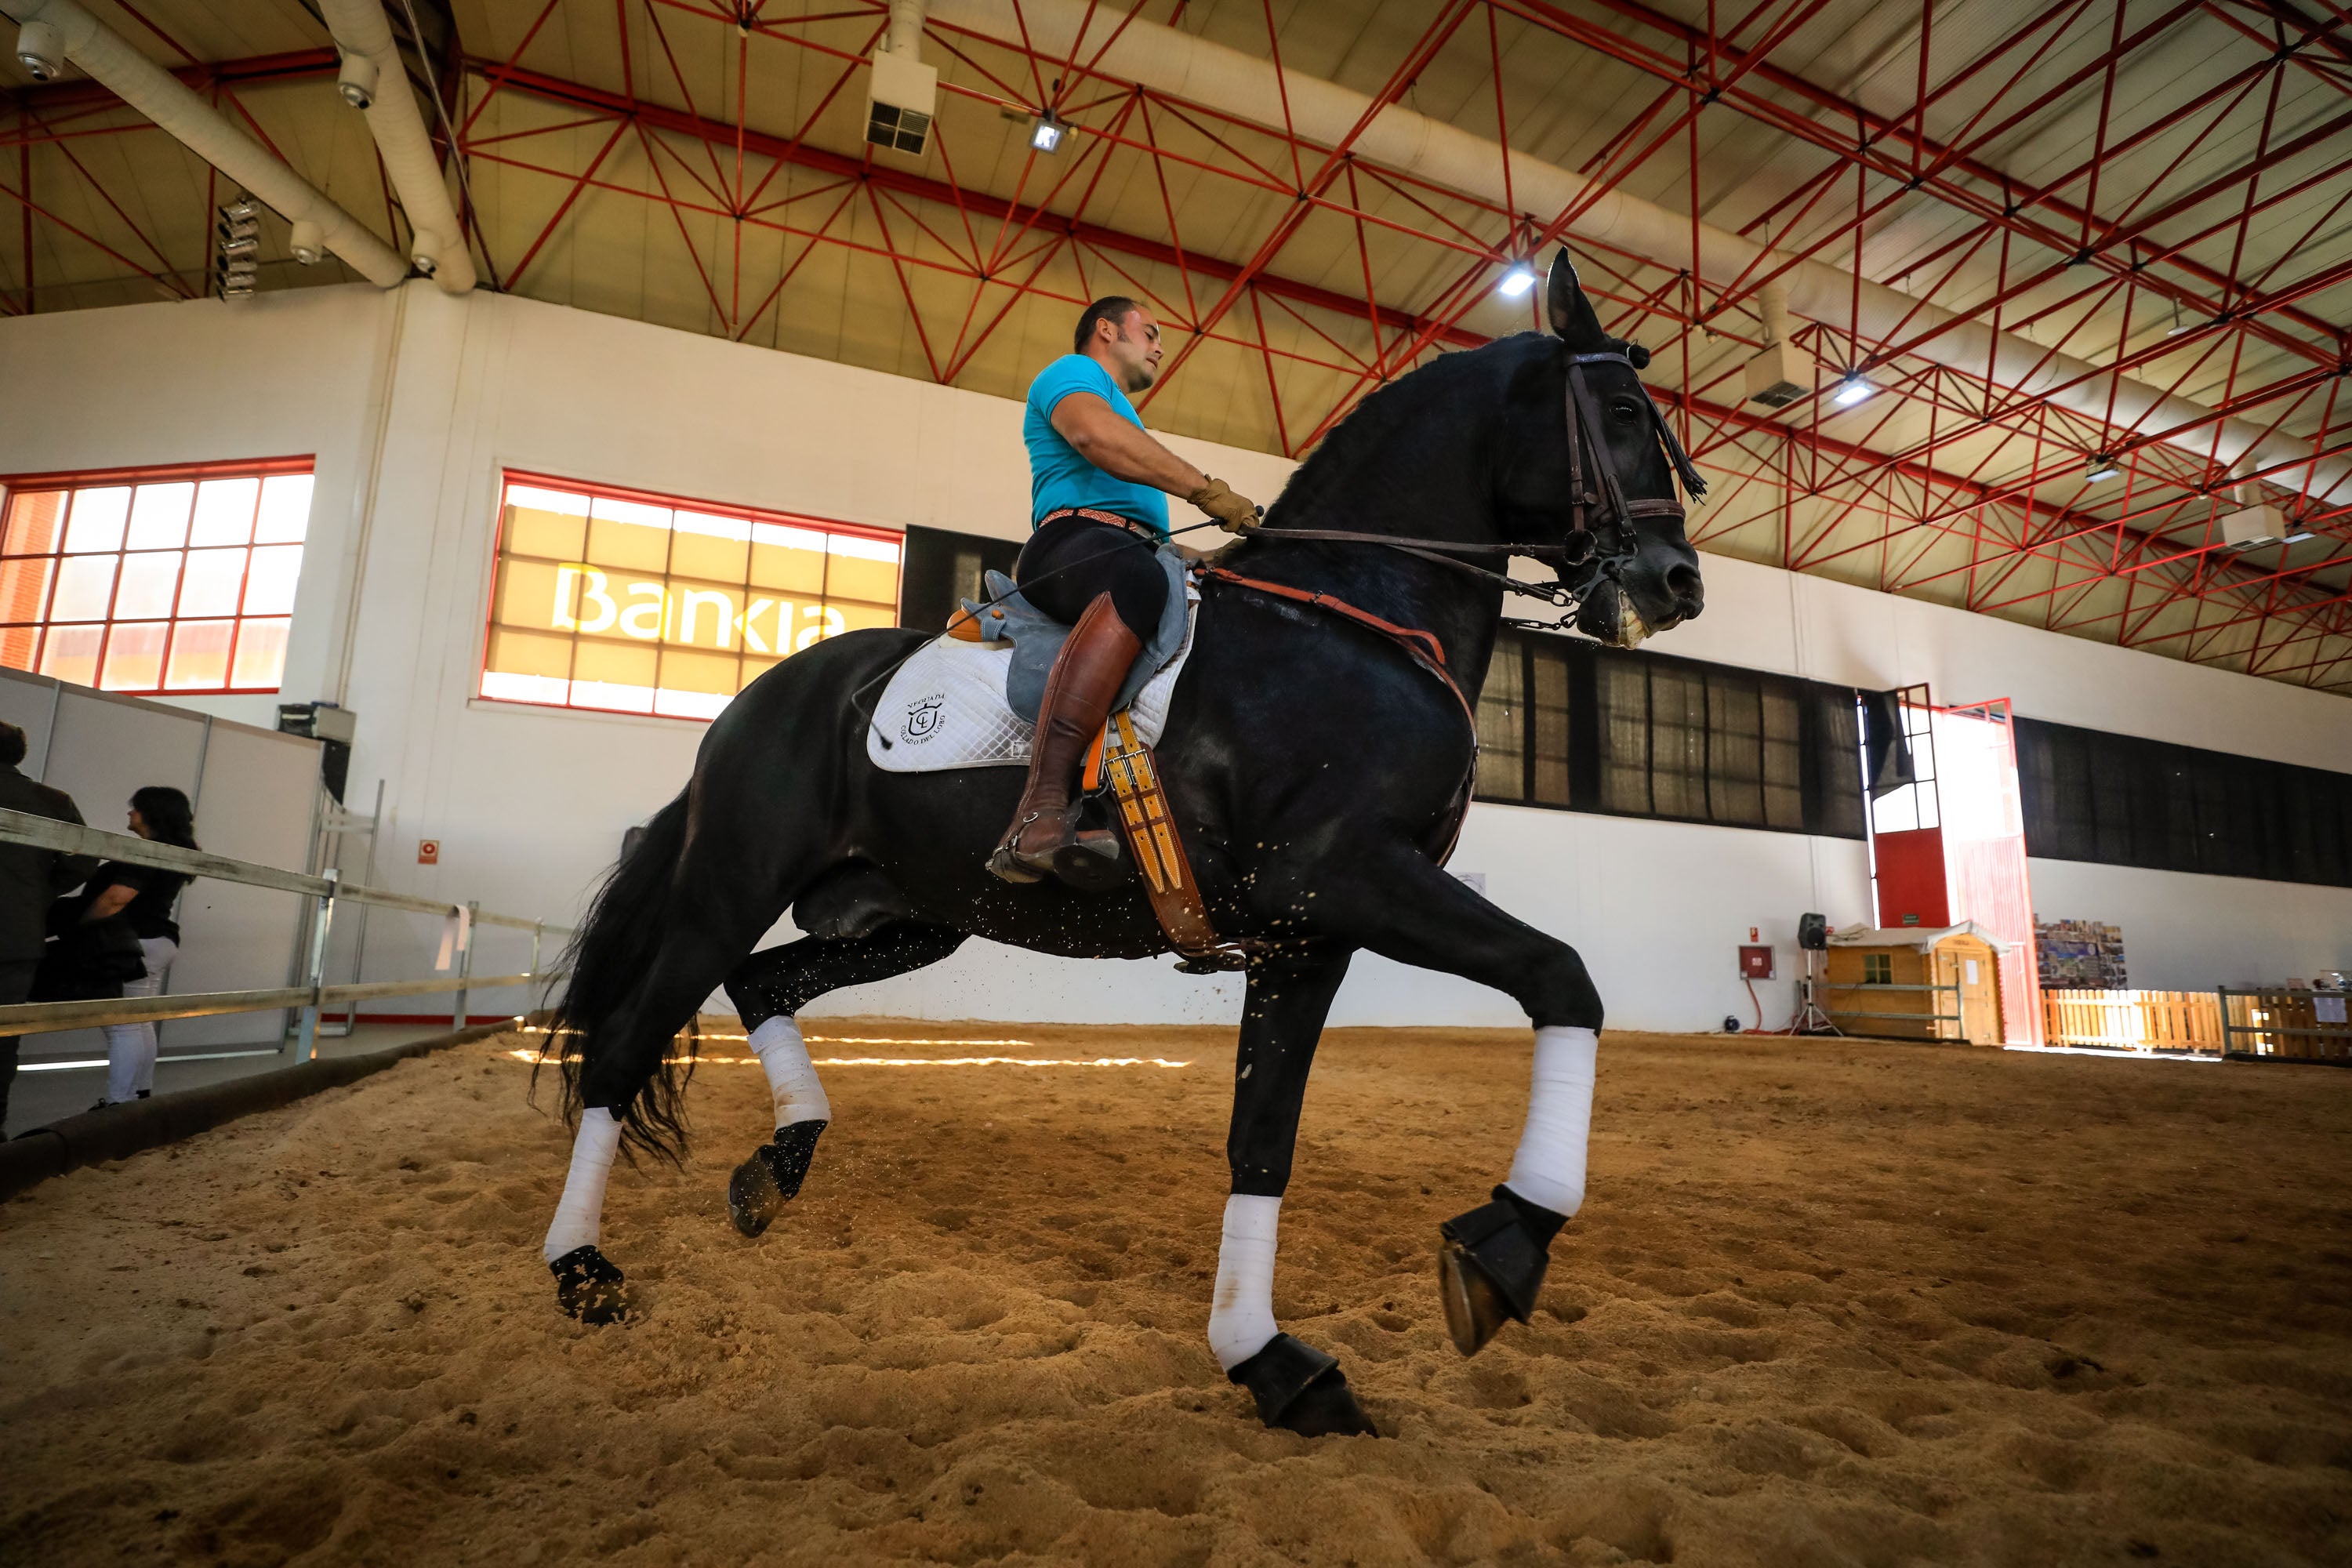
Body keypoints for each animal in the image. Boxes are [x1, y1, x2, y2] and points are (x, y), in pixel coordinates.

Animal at [536, 255, 1712, 1439]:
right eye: (1622, 413)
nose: (1677, 583)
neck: (1354, 619)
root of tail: (759, 699)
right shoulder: (1342, 876)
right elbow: (1562, 977)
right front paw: (1502, 1247)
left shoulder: (1308, 935)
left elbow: (1263, 1139)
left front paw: (1271, 1362)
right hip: (728, 889)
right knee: (626, 1045)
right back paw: (583, 1272)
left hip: (903, 917)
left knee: (761, 984)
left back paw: (774, 1169)